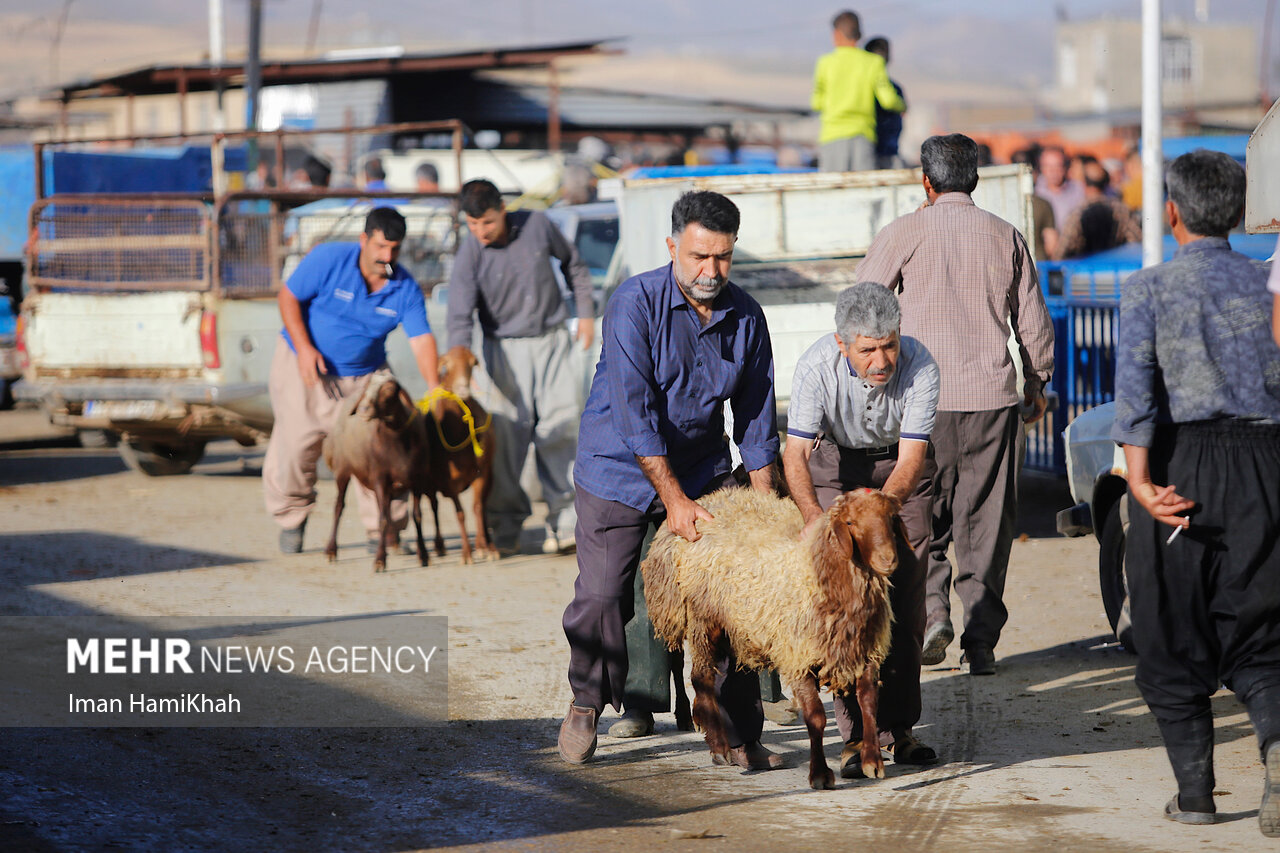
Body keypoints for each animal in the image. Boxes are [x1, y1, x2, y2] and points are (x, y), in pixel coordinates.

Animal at [422, 345, 496, 563]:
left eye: (473, 363)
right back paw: (439, 546)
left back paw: (488, 545)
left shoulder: (482, 473)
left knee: (484, 506)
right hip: (428, 483)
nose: (463, 389)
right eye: (446, 365)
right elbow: (461, 513)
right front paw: (466, 554)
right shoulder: (449, 481)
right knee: (434, 505)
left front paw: (484, 548)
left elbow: (477, 507)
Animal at [640, 489, 911, 788]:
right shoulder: (798, 655)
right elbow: (815, 717)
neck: (815, 570)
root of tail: (705, 501)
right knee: (701, 678)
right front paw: (819, 774)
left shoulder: (863, 649)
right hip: (703, 617)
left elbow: (868, 704)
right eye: (850, 522)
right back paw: (719, 745)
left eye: (890, 518)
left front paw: (872, 762)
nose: (888, 560)